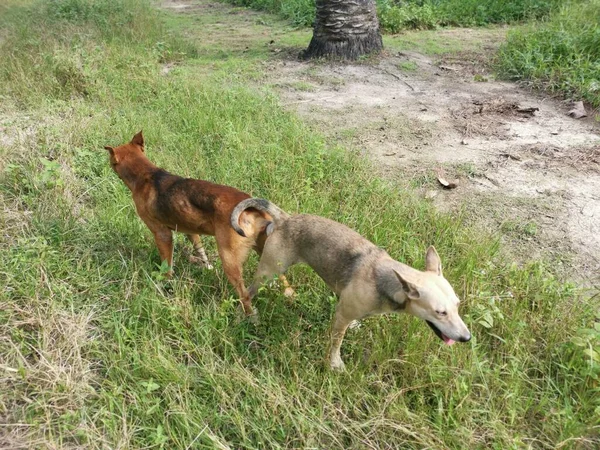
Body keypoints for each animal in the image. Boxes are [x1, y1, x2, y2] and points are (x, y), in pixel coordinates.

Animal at [104, 130, 292, 314]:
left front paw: (164, 284)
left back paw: (249, 316)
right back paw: (289, 297)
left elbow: (167, 265)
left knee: (244, 295)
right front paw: (206, 266)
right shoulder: (190, 230)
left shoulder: (162, 234)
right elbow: (200, 251)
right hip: (266, 251)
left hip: (229, 259)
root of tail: (252, 207)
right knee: (285, 284)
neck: (146, 174)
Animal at [232, 198, 472, 370]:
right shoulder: (341, 318)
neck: (389, 282)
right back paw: (246, 315)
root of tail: (285, 219)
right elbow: (336, 344)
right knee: (246, 293)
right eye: (440, 312)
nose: (466, 338)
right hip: (268, 272)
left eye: (457, 304)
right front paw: (334, 364)